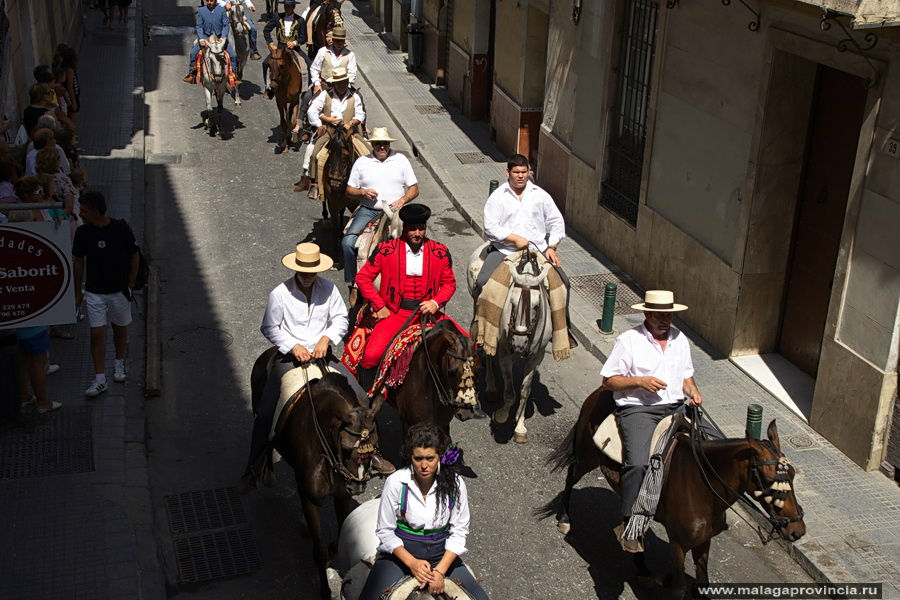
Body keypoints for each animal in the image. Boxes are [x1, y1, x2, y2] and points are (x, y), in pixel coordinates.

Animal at [250, 350, 384, 596]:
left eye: (374, 445)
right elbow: (319, 550)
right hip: (260, 411)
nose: (358, 486)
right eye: (347, 448)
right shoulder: (311, 498)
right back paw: (268, 476)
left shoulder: (341, 495)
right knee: (267, 440)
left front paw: (333, 548)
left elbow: (341, 531)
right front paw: (324, 590)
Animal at [468, 244, 552, 446]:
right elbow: (509, 391)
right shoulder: (505, 352)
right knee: (487, 352)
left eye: (536, 306)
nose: (519, 343)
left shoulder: (537, 356)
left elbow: (525, 390)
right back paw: (491, 388)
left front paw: (520, 427)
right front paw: (502, 415)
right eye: (512, 302)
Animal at [544, 390, 804, 600]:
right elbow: (679, 588)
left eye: (792, 474)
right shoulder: (678, 544)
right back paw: (565, 519)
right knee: (571, 477)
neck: (701, 485)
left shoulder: (703, 541)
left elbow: (702, 584)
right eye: (769, 480)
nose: (797, 529)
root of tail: (600, 391)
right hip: (587, 456)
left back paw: (643, 569)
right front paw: (669, 580)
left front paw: (666, 577)